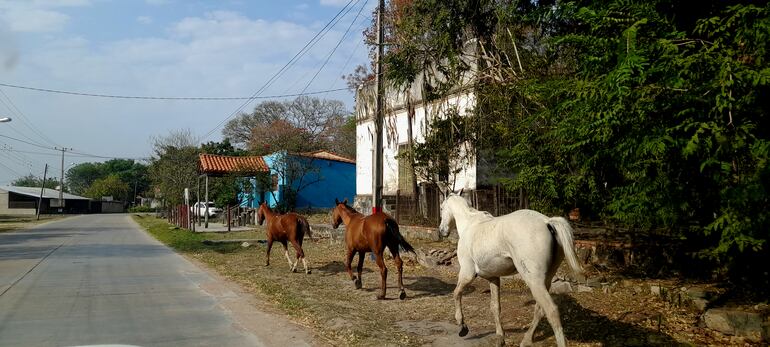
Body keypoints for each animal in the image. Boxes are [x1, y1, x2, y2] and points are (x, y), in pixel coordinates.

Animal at [438, 194, 584, 346]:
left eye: (441, 207)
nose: (441, 231)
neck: (470, 224)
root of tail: (547, 222)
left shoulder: (467, 274)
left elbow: (456, 294)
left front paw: (462, 326)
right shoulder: (493, 278)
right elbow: (495, 307)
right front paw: (500, 337)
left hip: (534, 282)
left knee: (552, 311)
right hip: (546, 280)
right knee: (539, 309)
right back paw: (526, 339)